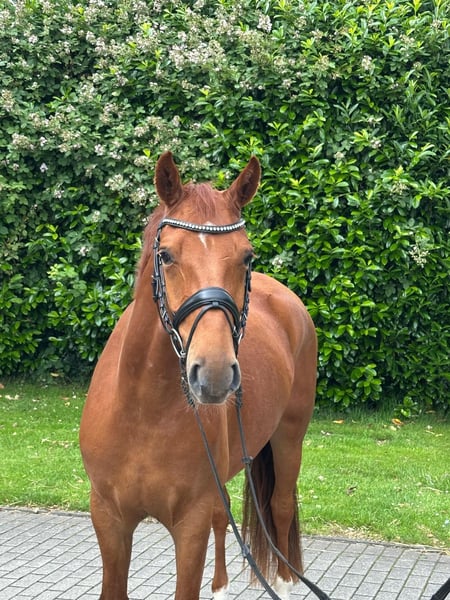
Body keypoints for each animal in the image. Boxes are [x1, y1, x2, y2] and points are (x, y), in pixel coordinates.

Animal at [79, 152, 317, 600]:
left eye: (247, 256)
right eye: (167, 256)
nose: (215, 373)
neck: (143, 412)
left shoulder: (189, 527)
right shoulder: (108, 519)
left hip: (289, 438)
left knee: (279, 506)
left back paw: (284, 580)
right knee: (224, 516)